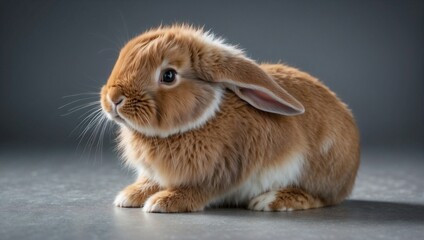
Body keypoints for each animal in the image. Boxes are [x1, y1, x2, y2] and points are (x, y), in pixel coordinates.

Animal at [101, 23, 360, 212]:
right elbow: (149, 182)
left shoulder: (220, 172)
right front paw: (129, 196)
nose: (113, 98)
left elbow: (198, 190)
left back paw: (270, 201)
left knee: (319, 198)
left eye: (168, 75)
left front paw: (162, 202)